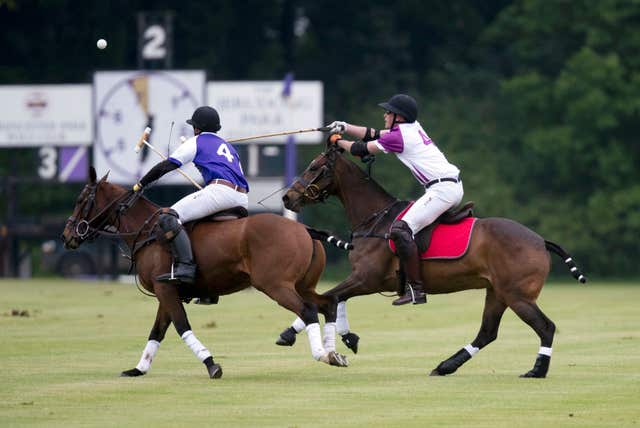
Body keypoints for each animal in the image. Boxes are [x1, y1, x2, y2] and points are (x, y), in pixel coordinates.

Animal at [61, 166, 350, 378]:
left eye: (80, 200)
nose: (67, 236)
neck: (146, 231)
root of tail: (305, 230)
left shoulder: (165, 288)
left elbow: (180, 325)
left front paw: (212, 364)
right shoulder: (166, 289)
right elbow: (157, 330)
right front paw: (138, 369)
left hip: (275, 285)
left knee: (308, 310)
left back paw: (322, 354)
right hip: (303, 285)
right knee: (328, 303)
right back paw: (334, 354)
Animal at [278, 146, 588, 378]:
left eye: (315, 167)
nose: (287, 197)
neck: (374, 218)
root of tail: (540, 241)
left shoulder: (368, 278)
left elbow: (329, 297)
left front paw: (294, 334)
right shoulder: (364, 280)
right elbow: (334, 298)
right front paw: (345, 337)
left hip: (517, 294)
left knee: (545, 327)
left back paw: (537, 370)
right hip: (497, 292)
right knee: (487, 332)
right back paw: (446, 366)